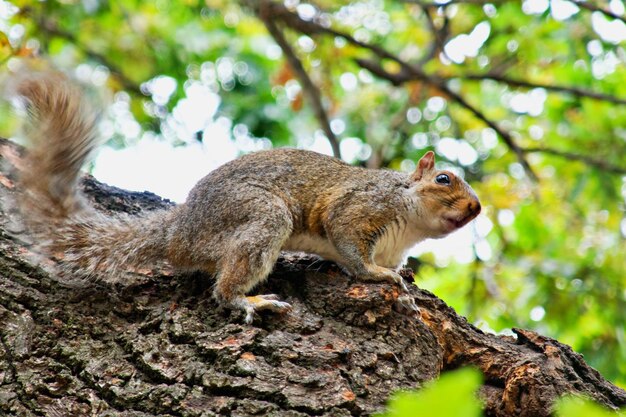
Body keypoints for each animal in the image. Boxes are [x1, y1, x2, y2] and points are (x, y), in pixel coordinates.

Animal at [9, 71, 480, 322]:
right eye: (443, 179)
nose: (476, 208)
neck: (408, 224)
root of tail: (180, 229)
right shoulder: (360, 208)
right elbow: (349, 245)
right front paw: (377, 275)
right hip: (259, 217)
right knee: (225, 286)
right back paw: (248, 298)